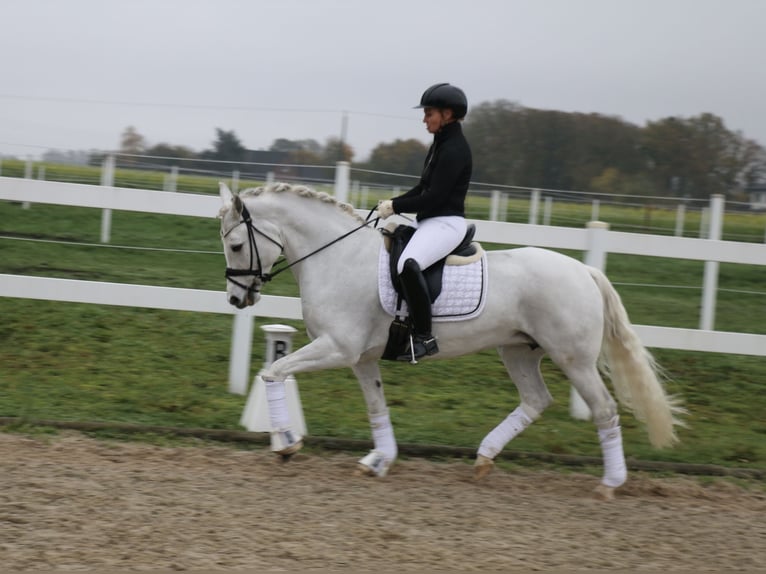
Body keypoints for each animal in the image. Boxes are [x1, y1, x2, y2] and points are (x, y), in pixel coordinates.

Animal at [219, 181, 688, 500]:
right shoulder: (361, 358)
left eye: (238, 245)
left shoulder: (338, 348)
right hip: (518, 351)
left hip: (573, 359)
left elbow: (273, 372)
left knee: (604, 410)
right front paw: (379, 460)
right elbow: (376, 407)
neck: (338, 256)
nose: (237, 299)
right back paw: (484, 458)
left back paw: (610, 483)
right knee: (536, 400)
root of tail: (585, 271)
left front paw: (286, 443)